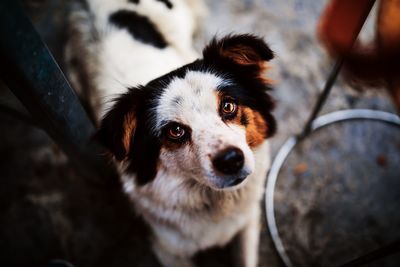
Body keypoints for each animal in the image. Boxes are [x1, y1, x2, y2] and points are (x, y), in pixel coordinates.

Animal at [66, 0, 276, 267]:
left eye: (228, 106)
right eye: (175, 131)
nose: (231, 160)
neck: (214, 202)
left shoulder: (248, 221)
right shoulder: (167, 250)